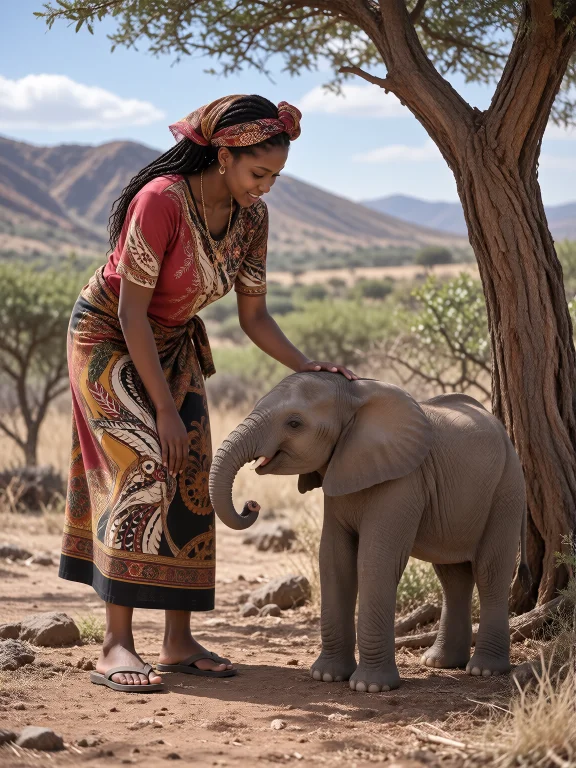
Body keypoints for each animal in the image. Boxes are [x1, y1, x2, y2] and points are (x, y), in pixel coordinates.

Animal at [209, 372, 531, 693]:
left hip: (507, 487)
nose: (251, 505)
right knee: (452, 576)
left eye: (294, 423)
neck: (354, 395)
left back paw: (484, 669)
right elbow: (334, 560)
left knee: (489, 572)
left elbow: (376, 560)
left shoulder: (404, 480)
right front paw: (326, 676)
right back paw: (439, 662)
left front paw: (369, 687)